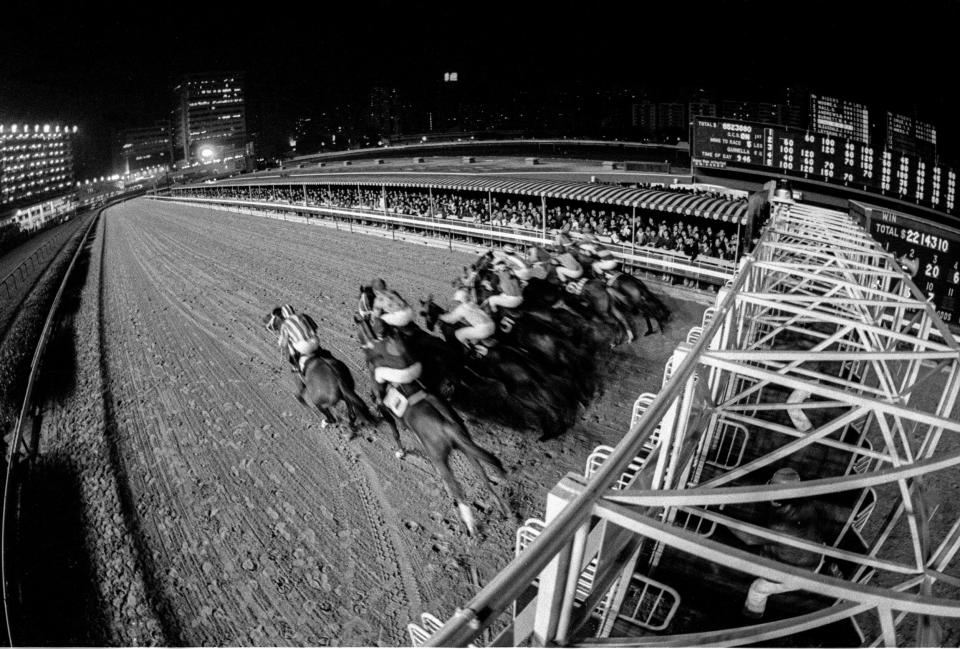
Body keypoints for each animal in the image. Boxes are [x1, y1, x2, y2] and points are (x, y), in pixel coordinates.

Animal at [354, 316, 510, 536]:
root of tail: (448, 427)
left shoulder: (385, 409)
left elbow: (395, 433)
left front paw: (400, 452)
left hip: (439, 459)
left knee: (457, 490)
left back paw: (470, 524)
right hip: (468, 450)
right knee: (485, 479)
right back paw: (502, 508)